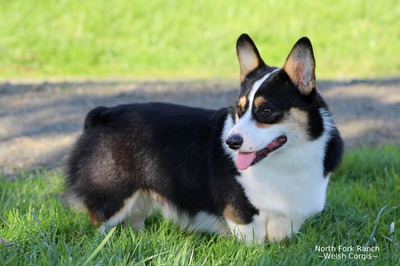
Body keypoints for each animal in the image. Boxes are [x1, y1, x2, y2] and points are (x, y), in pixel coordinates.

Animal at [65, 34, 344, 243]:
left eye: (266, 110)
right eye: (239, 109)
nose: (231, 143)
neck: (287, 161)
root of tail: (102, 114)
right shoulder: (243, 216)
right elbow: (253, 242)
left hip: (140, 198)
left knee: (133, 221)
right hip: (113, 195)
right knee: (101, 225)